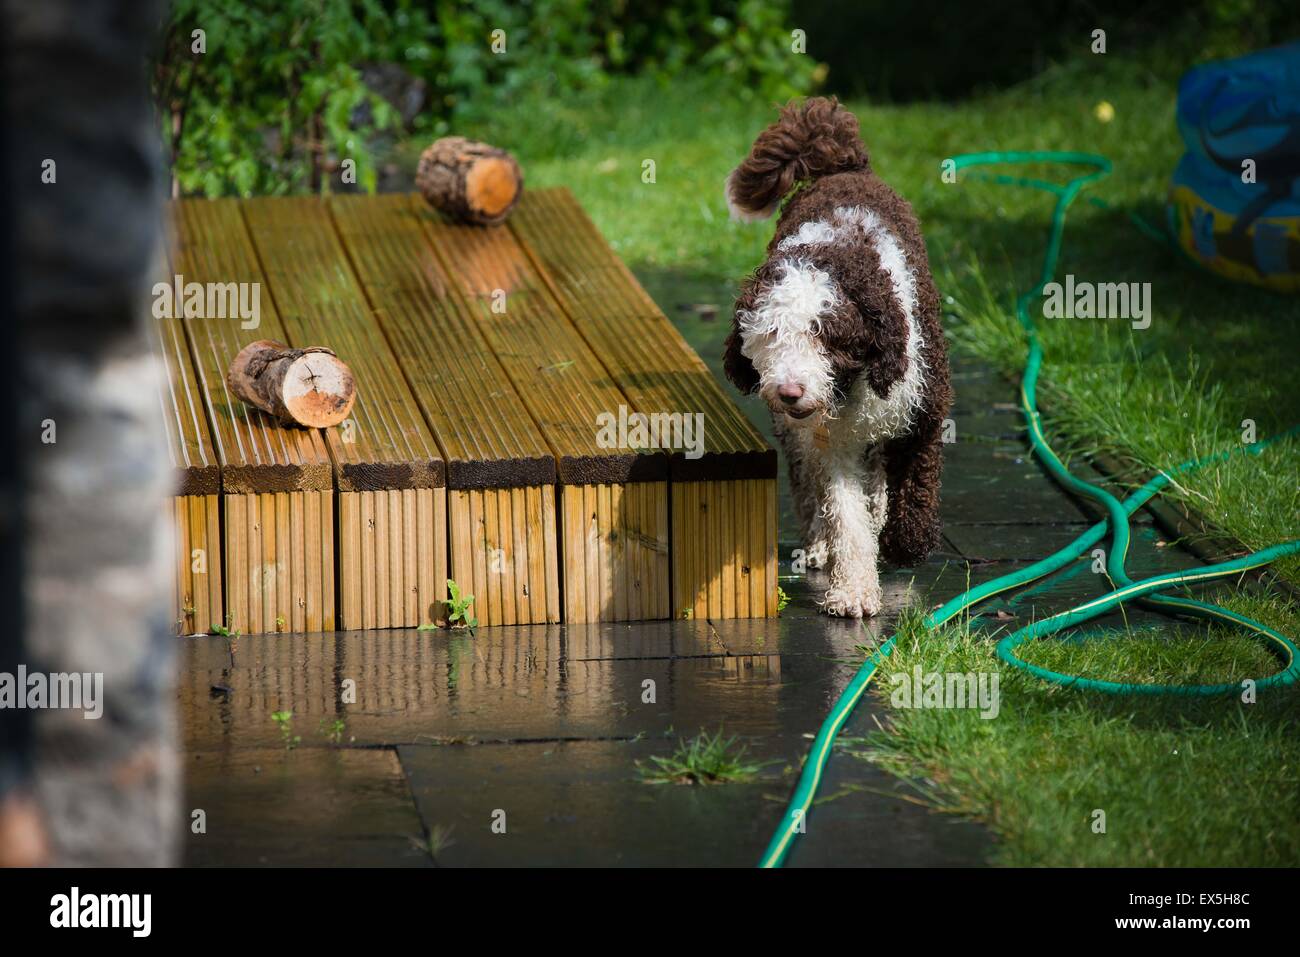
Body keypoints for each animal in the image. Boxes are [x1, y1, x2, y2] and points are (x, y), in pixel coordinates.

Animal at [722, 98, 956, 621]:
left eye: (827, 335)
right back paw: (817, 545)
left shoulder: (923, 412)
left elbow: (914, 482)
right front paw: (851, 590)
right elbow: (844, 514)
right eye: (771, 333)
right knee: (812, 486)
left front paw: (904, 542)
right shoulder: (834, 443)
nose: (790, 391)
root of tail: (843, 165)